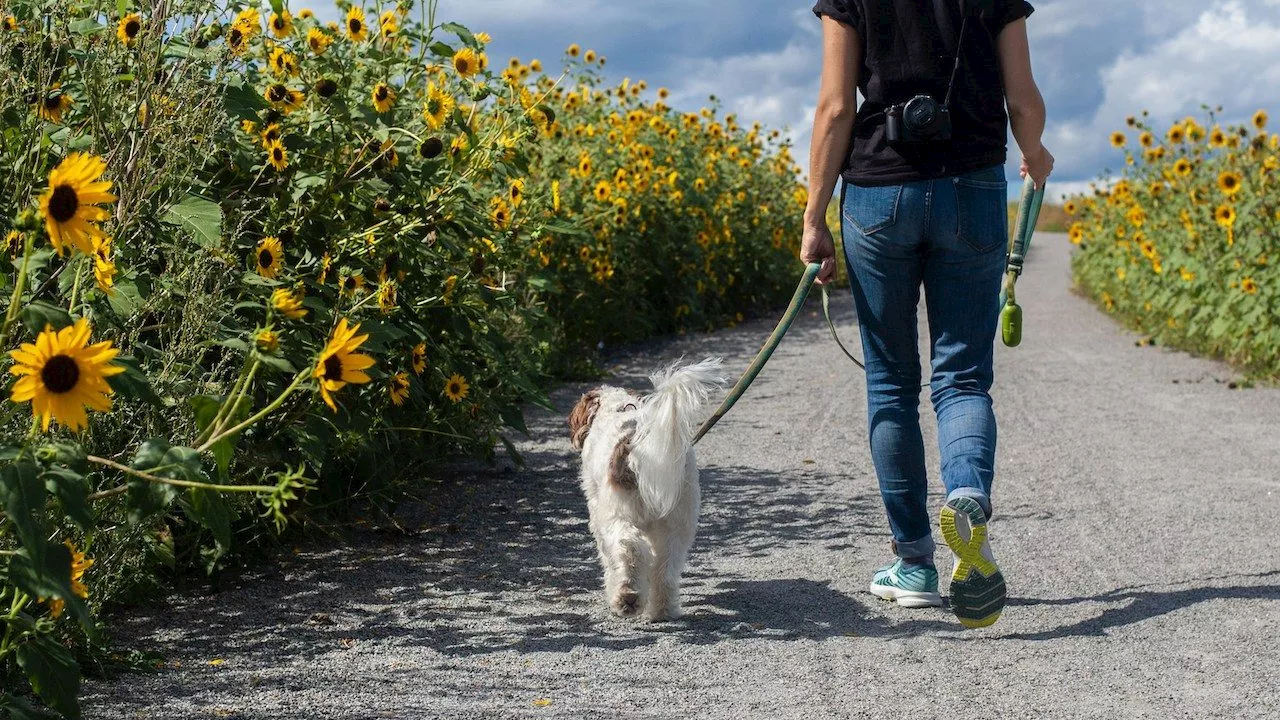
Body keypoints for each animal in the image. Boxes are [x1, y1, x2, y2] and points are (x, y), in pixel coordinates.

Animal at [568, 356, 727, 620]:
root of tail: (636, 443)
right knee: (666, 569)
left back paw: (627, 597)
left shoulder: (599, 515)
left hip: (619, 516)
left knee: (630, 548)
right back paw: (663, 610)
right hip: (678, 522)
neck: (616, 408)